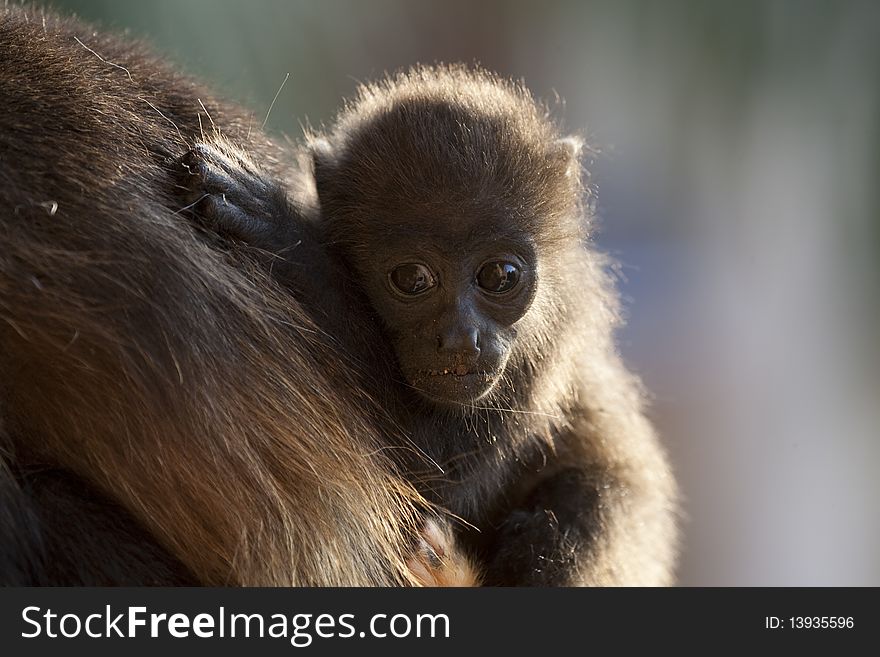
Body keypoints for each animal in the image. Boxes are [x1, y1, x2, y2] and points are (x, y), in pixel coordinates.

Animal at [175, 66, 676, 584]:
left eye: (500, 276)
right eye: (413, 279)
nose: (461, 339)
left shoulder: (557, 329)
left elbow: (428, 470)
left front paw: (286, 236)